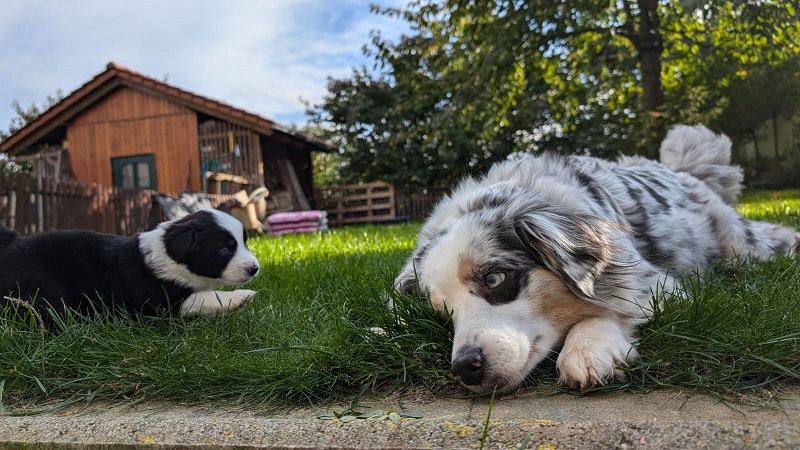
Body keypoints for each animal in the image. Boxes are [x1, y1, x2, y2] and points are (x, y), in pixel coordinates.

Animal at [1, 208, 260, 324]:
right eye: (224, 250)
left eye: (244, 242)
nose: (255, 268)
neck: (169, 256)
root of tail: (11, 241)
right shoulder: (155, 302)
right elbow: (203, 298)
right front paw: (240, 297)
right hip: (39, 286)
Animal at [394, 124, 799, 393]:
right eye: (441, 311)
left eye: (494, 278)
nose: (466, 367)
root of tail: (681, 171)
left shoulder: (655, 279)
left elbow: (614, 305)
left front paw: (587, 350)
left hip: (742, 245)